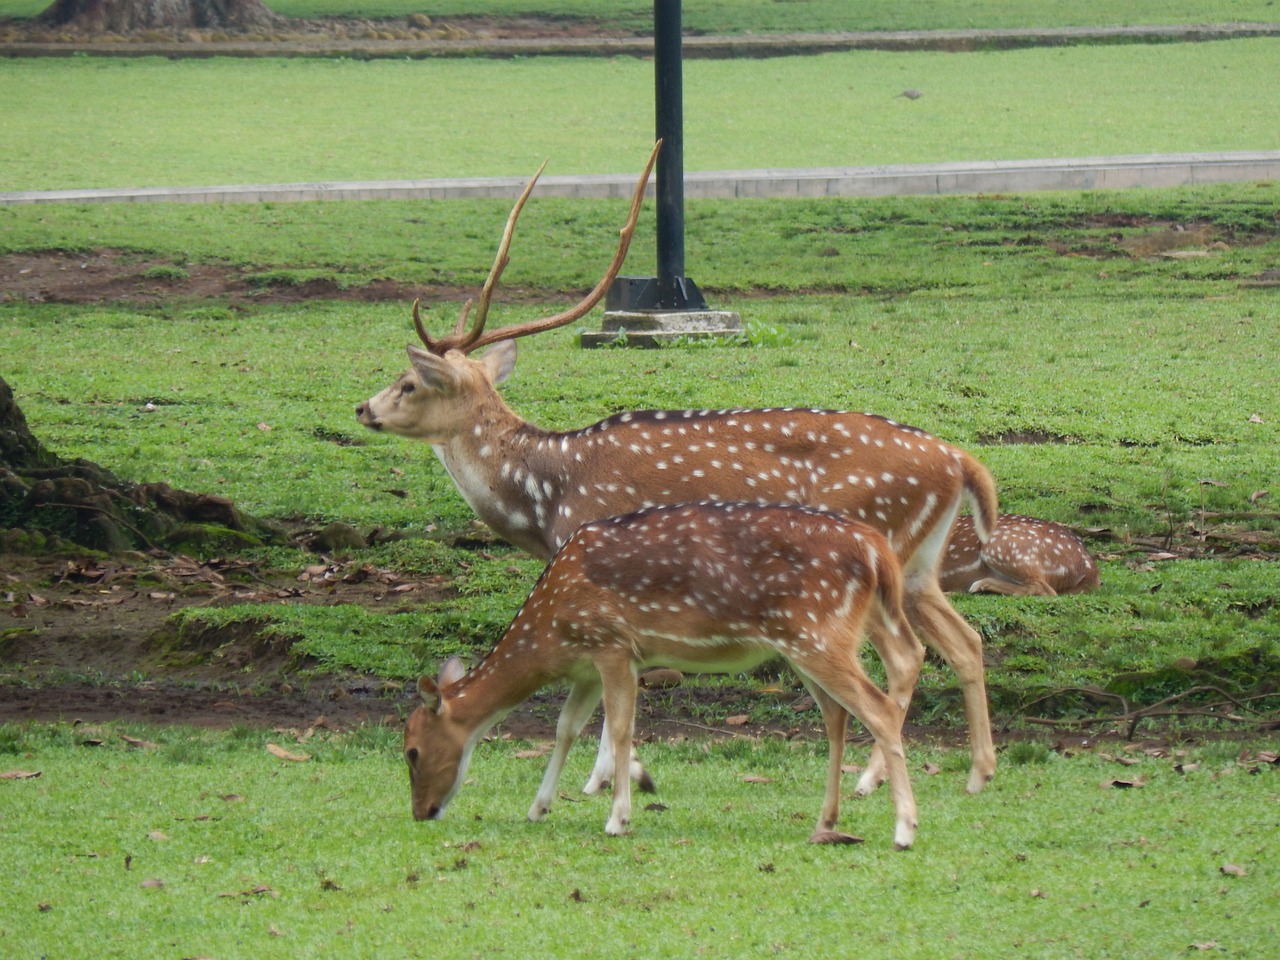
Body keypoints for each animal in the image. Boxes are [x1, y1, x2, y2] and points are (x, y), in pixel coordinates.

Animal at [355, 144, 1003, 798]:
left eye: (408, 383)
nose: (363, 408)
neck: (544, 499)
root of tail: (960, 461)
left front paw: (607, 779)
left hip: (874, 557)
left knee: (910, 655)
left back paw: (874, 778)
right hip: (917, 567)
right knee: (965, 642)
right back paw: (977, 772)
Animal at [404, 504, 926, 849]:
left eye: (410, 752)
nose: (421, 813)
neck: (551, 631)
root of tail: (877, 550)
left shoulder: (612, 644)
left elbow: (619, 728)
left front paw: (618, 818)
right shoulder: (587, 662)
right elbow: (566, 727)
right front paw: (539, 807)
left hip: (817, 632)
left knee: (878, 706)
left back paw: (903, 829)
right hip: (811, 641)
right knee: (839, 713)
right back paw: (827, 822)